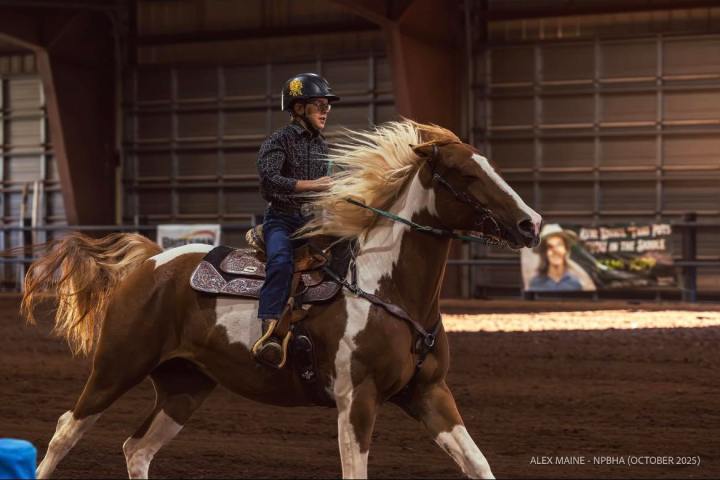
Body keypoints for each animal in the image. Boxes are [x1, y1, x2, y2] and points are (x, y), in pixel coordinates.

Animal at [22, 120, 541, 479]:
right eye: (465, 173)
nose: (531, 223)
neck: (386, 289)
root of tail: (151, 262)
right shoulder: (357, 399)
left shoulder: (429, 392)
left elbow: (477, 463)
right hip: (116, 366)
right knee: (66, 430)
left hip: (184, 386)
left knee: (137, 448)